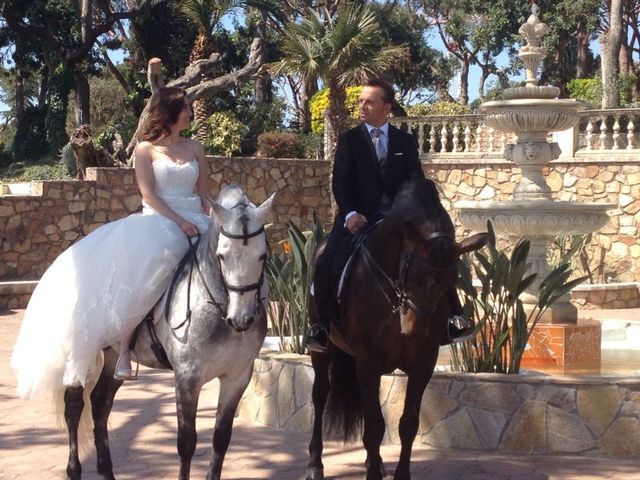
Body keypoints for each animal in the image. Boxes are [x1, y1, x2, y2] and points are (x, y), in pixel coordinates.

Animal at [62, 185, 276, 480]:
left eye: (262, 256)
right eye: (222, 255)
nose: (242, 319)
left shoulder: (237, 377)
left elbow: (221, 439)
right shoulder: (187, 378)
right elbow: (186, 443)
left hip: (113, 356)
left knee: (100, 403)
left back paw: (106, 470)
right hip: (80, 351)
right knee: (74, 406)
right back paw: (74, 470)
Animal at [308, 179, 488, 480]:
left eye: (450, 280)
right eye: (412, 272)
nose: (413, 330)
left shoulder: (423, 363)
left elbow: (408, 424)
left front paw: (398, 472)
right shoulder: (368, 362)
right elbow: (374, 427)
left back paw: (376, 461)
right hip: (322, 351)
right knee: (320, 394)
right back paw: (315, 463)